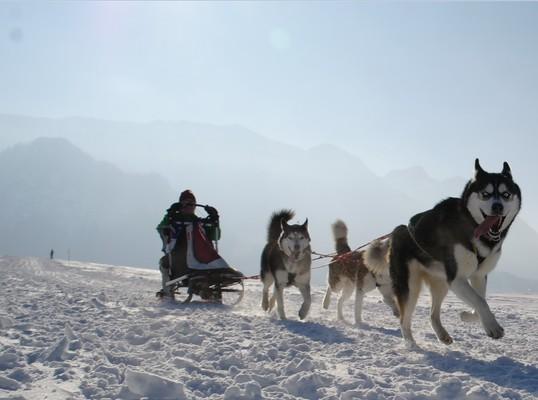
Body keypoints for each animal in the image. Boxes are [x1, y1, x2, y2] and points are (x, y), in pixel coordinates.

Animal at [364, 160, 520, 346]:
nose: (498, 206)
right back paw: (411, 344)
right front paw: (493, 327)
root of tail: (396, 233)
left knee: (432, 314)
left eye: (506, 194)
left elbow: (480, 301)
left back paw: (441, 334)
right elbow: (480, 301)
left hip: (441, 283)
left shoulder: (479, 275)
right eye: (485, 194)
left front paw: (467, 316)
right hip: (411, 286)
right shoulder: (456, 278)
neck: (472, 225)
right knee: (403, 319)